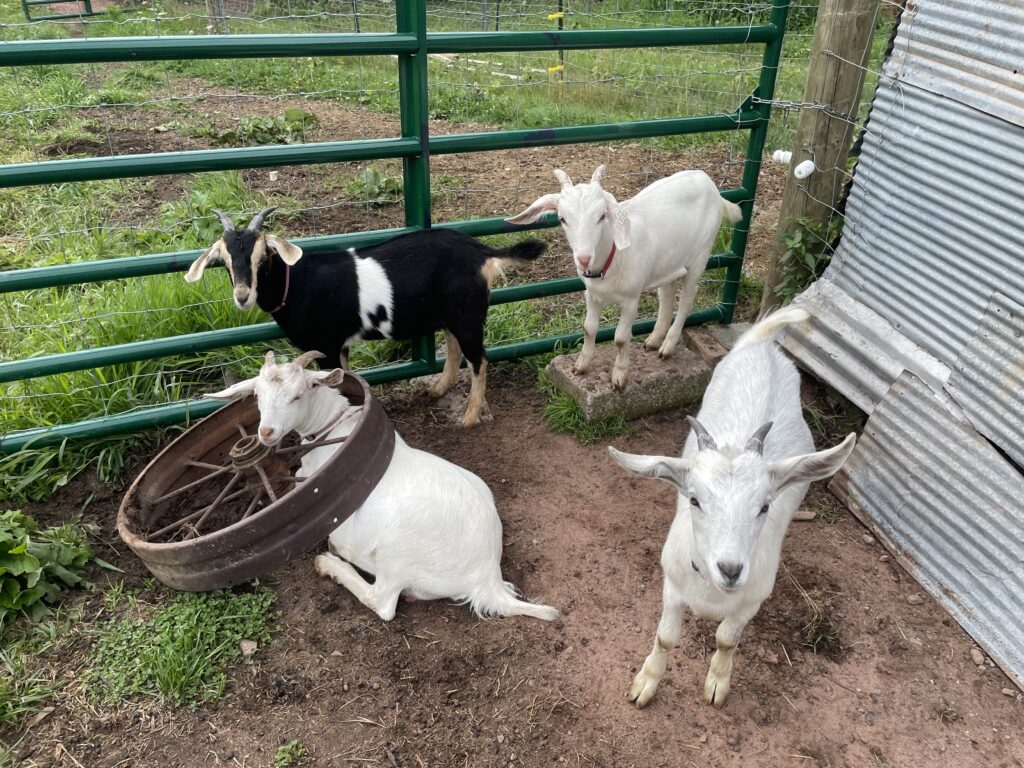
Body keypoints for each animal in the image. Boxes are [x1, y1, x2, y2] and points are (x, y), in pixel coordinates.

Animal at [185, 209, 547, 427]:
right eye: (224, 261)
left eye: (264, 257)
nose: (243, 296)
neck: (297, 283)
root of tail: (482, 252)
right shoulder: (339, 345)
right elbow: (345, 377)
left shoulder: (326, 344)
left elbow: (337, 381)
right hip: (449, 314)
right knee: (455, 349)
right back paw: (438, 390)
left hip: (468, 314)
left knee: (479, 360)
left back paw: (469, 416)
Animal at [206, 350, 560, 623]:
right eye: (257, 396)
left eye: (298, 395)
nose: (266, 433)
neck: (335, 429)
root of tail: (487, 578)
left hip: (397, 551)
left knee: (383, 601)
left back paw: (333, 561)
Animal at [507, 166, 742, 390]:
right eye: (562, 219)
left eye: (602, 216)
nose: (584, 259)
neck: (612, 258)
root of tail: (707, 181)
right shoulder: (591, 295)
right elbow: (589, 329)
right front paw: (581, 366)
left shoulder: (631, 300)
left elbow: (620, 339)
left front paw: (619, 377)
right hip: (669, 262)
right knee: (667, 296)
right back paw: (654, 340)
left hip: (700, 255)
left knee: (686, 301)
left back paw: (667, 346)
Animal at [607, 307, 856, 708]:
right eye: (694, 499)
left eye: (765, 506)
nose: (731, 569)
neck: (712, 591)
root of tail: (764, 346)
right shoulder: (672, 586)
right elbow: (665, 637)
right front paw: (645, 683)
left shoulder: (751, 601)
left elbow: (727, 640)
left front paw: (717, 685)